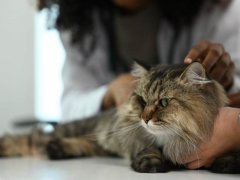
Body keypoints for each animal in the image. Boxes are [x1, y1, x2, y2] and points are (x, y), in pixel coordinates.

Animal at [0, 62, 240, 173]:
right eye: (142, 100)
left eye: (164, 102)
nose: (144, 118)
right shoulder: (139, 140)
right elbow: (149, 149)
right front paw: (152, 163)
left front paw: (227, 162)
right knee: (30, 139)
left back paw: (57, 149)